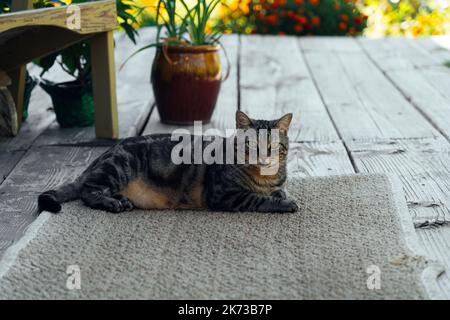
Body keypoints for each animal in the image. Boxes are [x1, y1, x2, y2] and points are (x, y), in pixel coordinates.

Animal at [37, 111, 298, 214]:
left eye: (273, 146)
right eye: (251, 146)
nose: (264, 157)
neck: (265, 178)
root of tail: (101, 156)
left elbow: (279, 191)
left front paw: (281, 195)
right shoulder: (226, 195)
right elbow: (259, 199)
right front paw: (285, 204)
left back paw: (122, 200)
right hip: (118, 168)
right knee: (88, 191)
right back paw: (113, 203)